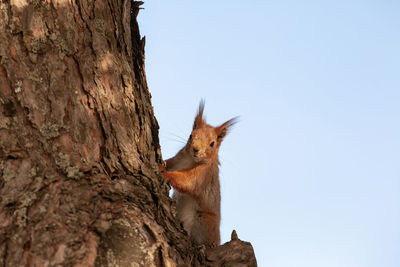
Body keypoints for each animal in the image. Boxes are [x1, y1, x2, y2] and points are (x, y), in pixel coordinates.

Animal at [159, 101, 238, 249]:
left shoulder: (203, 175)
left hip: (204, 221)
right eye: (191, 135)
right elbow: (170, 163)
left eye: (212, 143)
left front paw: (164, 173)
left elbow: (187, 181)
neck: (190, 159)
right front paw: (162, 164)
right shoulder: (178, 159)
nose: (195, 149)